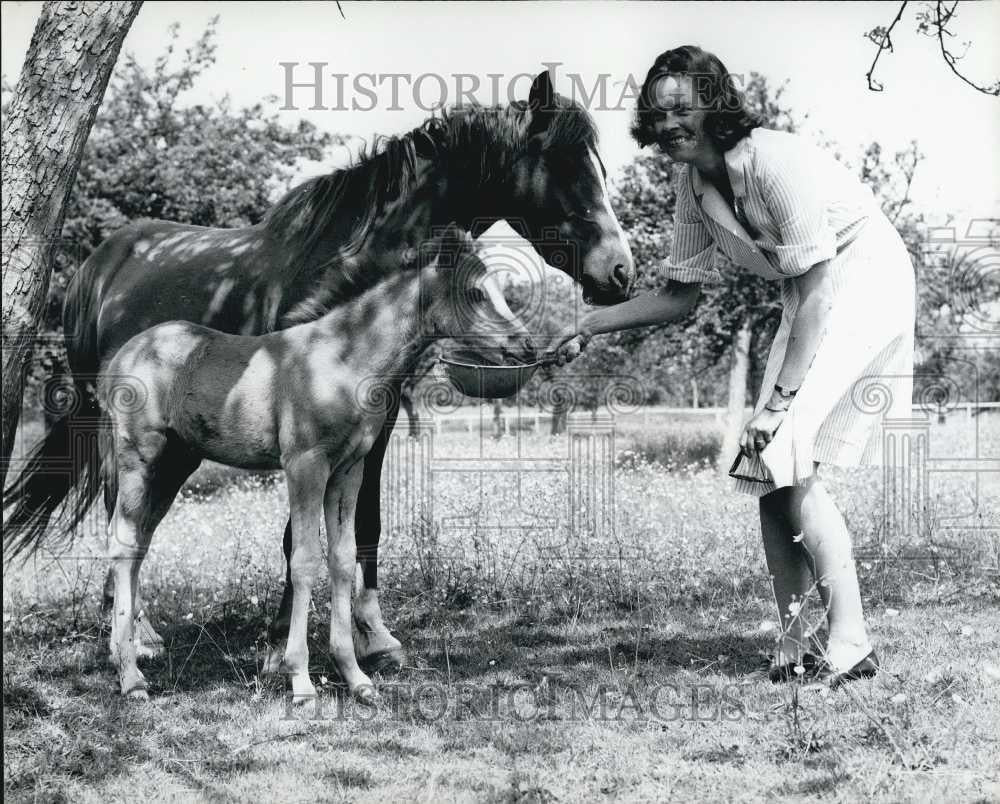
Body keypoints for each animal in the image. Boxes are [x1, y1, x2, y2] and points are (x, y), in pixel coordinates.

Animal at [102, 225, 533, 702]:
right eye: (475, 293)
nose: (524, 345)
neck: (339, 360)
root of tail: (125, 353)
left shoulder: (348, 469)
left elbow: (343, 559)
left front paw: (356, 676)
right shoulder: (305, 465)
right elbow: (305, 559)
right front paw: (301, 679)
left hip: (175, 465)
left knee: (137, 546)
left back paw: (130, 655)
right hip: (141, 457)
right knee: (122, 543)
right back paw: (131, 677)